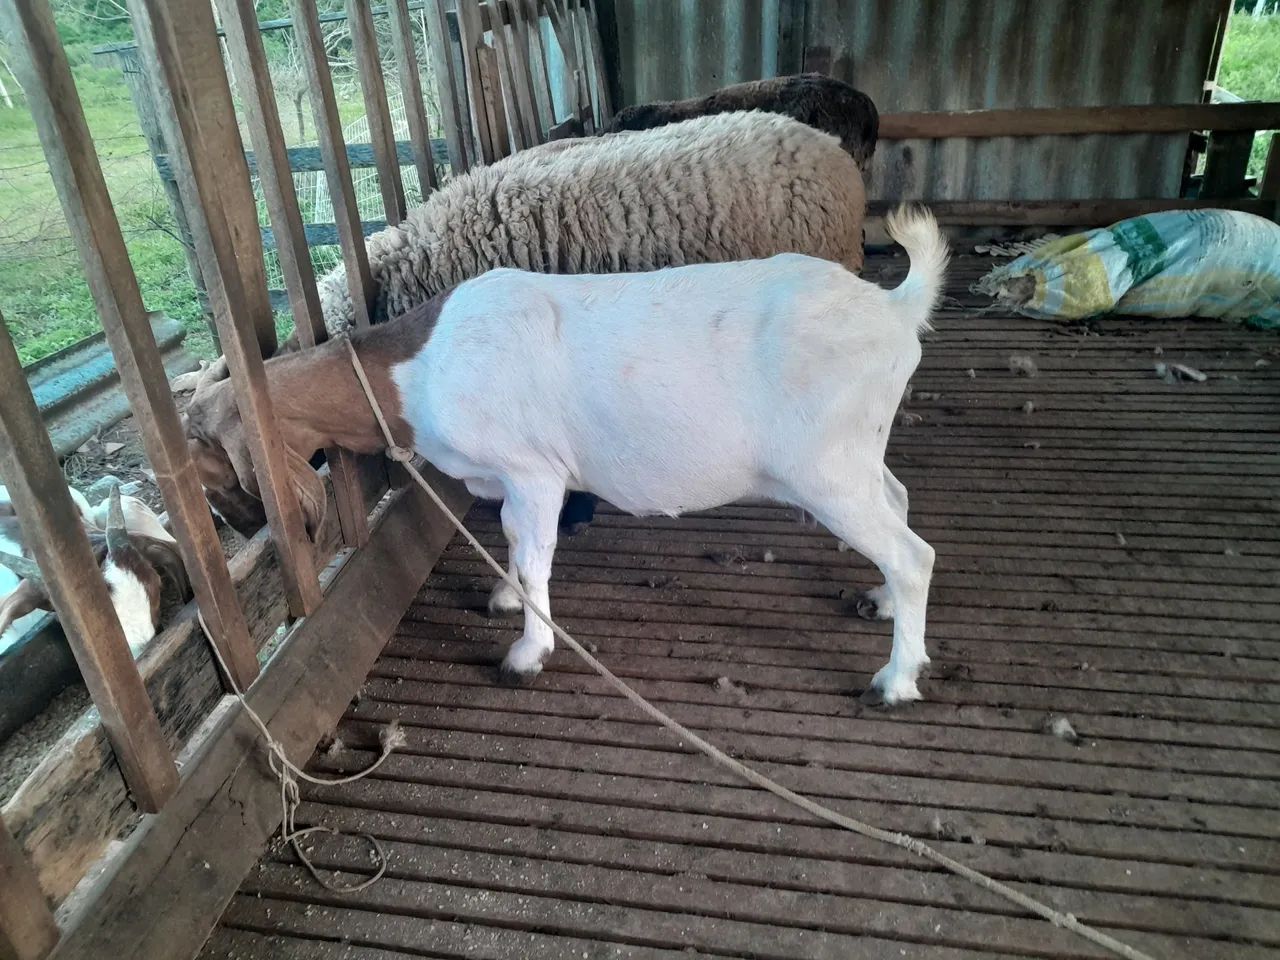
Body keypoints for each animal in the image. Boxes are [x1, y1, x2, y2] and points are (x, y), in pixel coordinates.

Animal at [184, 205, 946, 704]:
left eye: (204, 451)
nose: (237, 529)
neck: (415, 367)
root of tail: (895, 310)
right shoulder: (509, 481)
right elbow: (514, 542)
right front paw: (503, 596)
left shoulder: (533, 471)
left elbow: (534, 553)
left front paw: (528, 651)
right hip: (857, 453)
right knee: (902, 505)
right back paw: (880, 602)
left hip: (825, 469)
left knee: (913, 553)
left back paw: (896, 679)